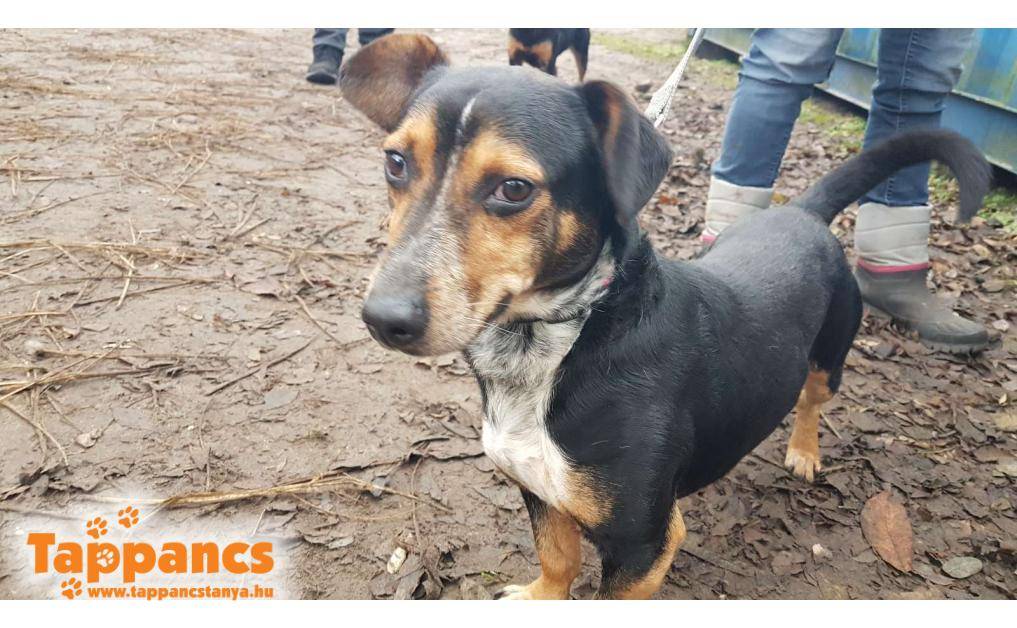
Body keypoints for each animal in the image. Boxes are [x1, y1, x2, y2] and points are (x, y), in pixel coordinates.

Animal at [339, 34, 990, 599]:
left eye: (514, 188)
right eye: (395, 161)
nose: (382, 319)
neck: (562, 338)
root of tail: (801, 212)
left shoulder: (644, 541)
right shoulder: (539, 488)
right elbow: (557, 556)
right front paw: (540, 598)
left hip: (832, 353)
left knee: (812, 399)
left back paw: (805, 451)